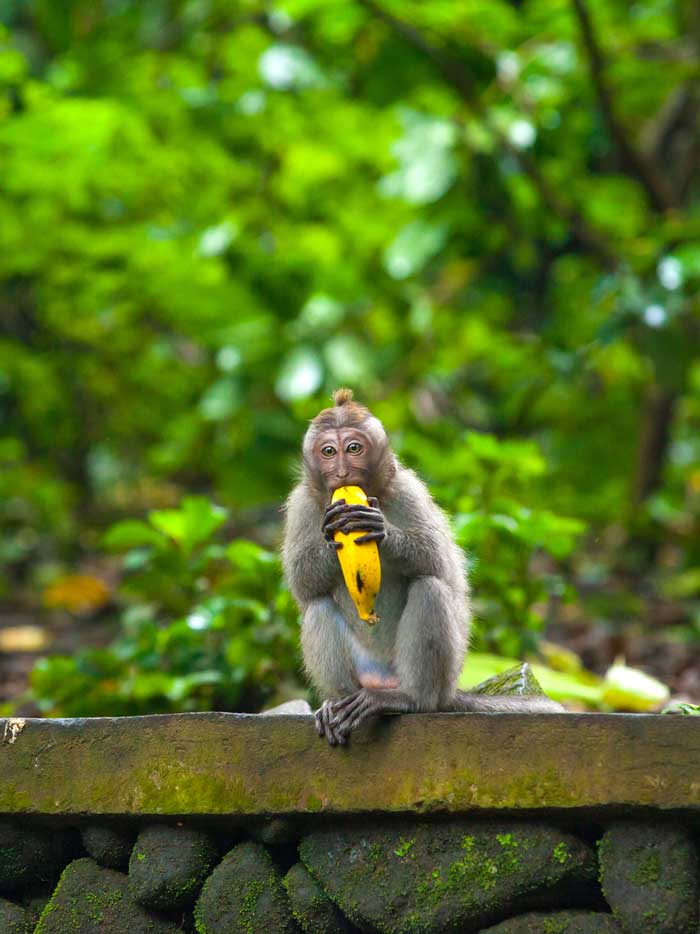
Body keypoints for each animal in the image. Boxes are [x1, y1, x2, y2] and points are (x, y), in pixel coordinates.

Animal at [282, 388, 560, 744]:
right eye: (328, 451)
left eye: (354, 448)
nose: (342, 472)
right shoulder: (301, 503)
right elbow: (302, 582)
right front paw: (333, 530)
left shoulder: (408, 489)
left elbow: (438, 561)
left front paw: (380, 529)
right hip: (365, 670)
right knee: (318, 606)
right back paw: (337, 704)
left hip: (437, 675)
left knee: (430, 589)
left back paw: (410, 699)